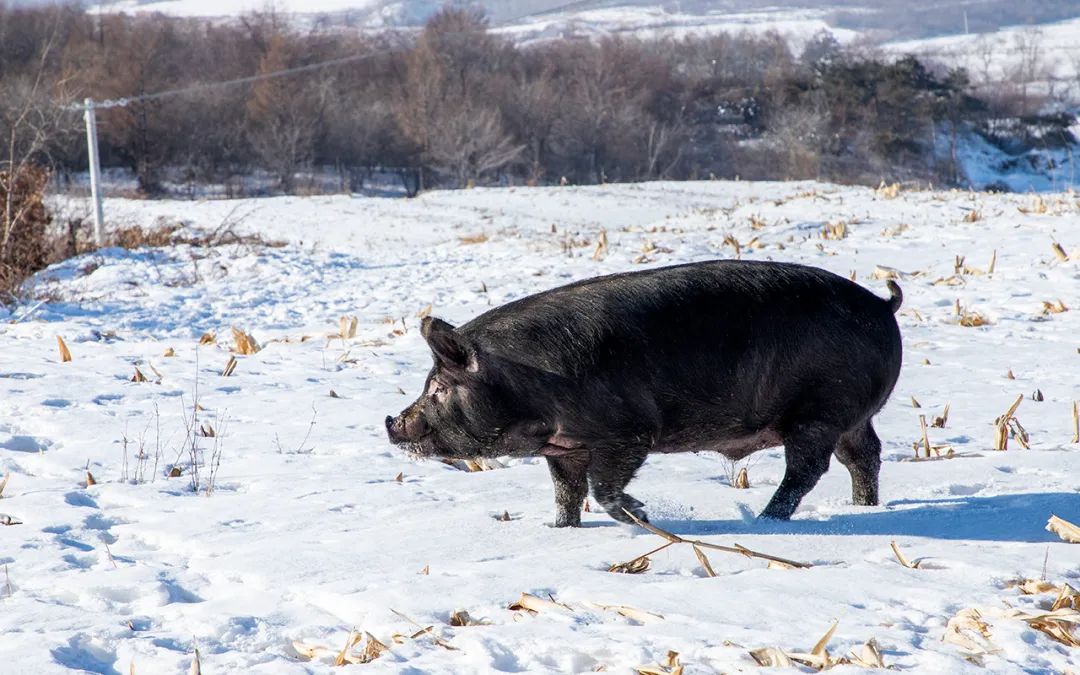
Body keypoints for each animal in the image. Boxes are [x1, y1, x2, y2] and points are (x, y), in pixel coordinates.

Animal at [386, 258, 902, 527]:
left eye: (438, 387)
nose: (392, 423)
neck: (529, 383)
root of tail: (884, 305)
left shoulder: (627, 433)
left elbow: (604, 487)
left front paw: (643, 514)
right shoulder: (565, 447)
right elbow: (567, 490)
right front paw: (560, 528)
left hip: (820, 411)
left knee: (807, 469)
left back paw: (765, 520)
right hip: (851, 416)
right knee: (864, 455)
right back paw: (864, 506)